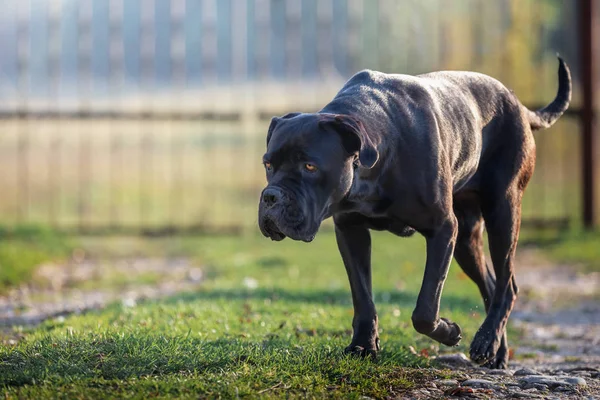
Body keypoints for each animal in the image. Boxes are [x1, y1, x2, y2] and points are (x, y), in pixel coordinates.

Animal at [258, 58, 572, 368]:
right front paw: (363, 346)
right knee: (492, 285)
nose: (271, 196)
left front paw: (448, 331)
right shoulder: (350, 231)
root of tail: (517, 103)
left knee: (508, 286)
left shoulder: (442, 228)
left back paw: (486, 341)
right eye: (268, 165)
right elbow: (363, 296)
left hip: (502, 214)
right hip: (467, 239)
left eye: (310, 166)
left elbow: (426, 306)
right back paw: (496, 350)